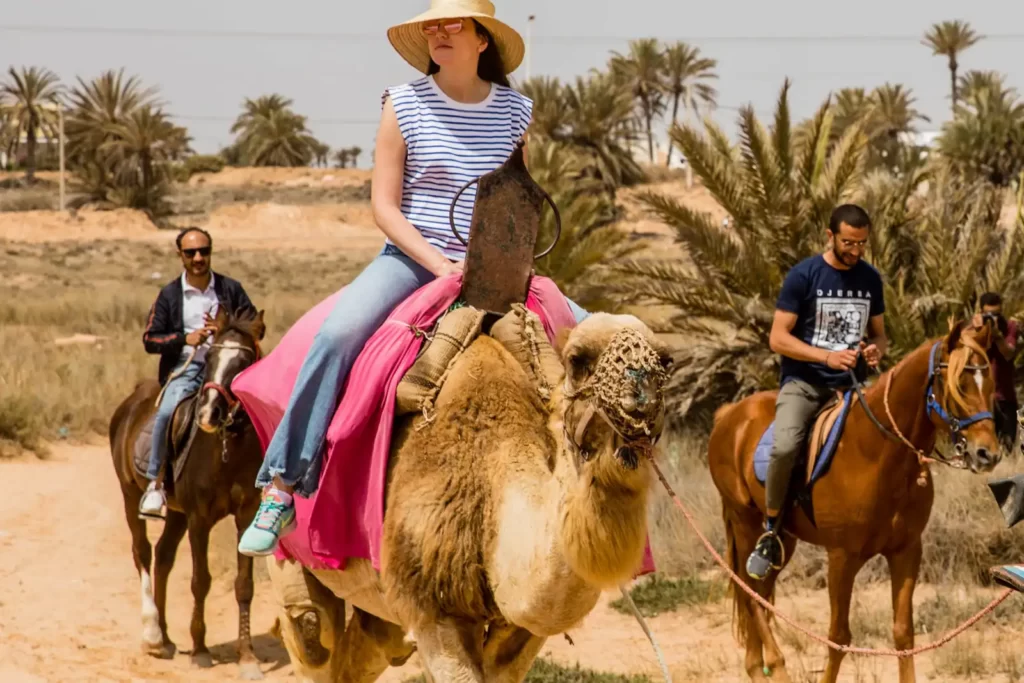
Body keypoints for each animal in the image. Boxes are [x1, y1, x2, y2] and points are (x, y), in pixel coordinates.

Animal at [109, 309, 268, 679]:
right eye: (208, 357)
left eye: (243, 362)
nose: (209, 413)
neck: (227, 450)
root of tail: (131, 401)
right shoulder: (199, 518)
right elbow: (201, 581)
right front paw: (200, 649)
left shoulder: (244, 517)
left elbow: (244, 585)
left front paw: (247, 656)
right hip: (130, 496)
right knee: (143, 552)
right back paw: (152, 634)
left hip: (176, 514)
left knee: (164, 557)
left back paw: (166, 637)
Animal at [268, 313, 675, 679]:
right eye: (577, 359)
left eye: (665, 361)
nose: (640, 394)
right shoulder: (435, 605)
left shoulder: (519, 630)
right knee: (312, 634)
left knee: (371, 646)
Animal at [708, 321, 995, 683]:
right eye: (959, 385)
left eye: (991, 381)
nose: (987, 453)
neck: (876, 453)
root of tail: (728, 415)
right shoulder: (842, 558)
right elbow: (838, 637)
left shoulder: (906, 551)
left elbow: (903, 633)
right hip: (745, 523)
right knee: (749, 593)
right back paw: (776, 665)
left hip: (781, 540)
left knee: (758, 593)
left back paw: (757, 669)